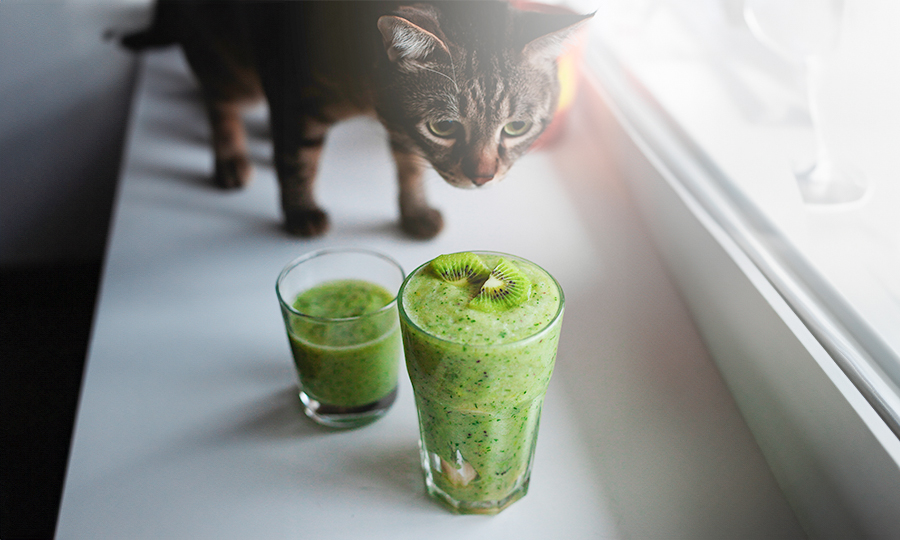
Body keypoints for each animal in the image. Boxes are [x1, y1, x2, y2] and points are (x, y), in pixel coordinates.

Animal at [126, 0, 592, 238]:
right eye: (444, 127)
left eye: (516, 127)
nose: (483, 176)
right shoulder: (291, 92)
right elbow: (297, 160)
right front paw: (300, 211)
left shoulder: (400, 128)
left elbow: (410, 168)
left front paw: (414, 211)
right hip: (230, 66)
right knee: (218, 102)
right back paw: (230, 156)